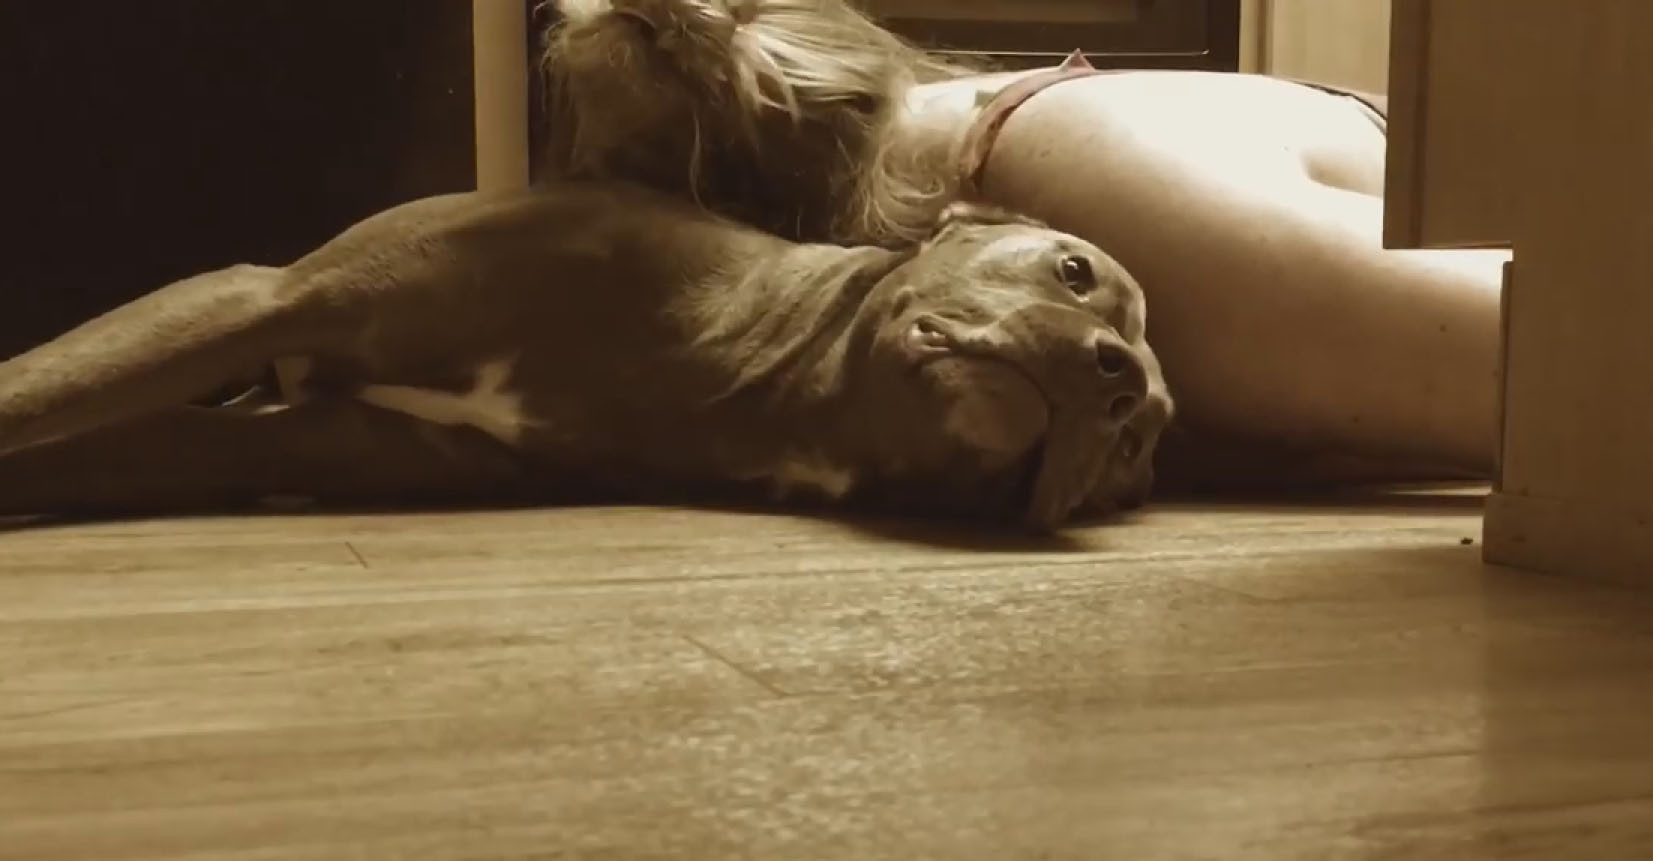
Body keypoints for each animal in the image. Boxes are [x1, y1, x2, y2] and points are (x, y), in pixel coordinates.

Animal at [0, 182, 1171, 529]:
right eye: (1075, 271)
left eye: (1136, 442)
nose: (1115, 375)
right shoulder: (268, 298)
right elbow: (37, 395)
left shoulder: (299, 442)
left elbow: (88, 444)